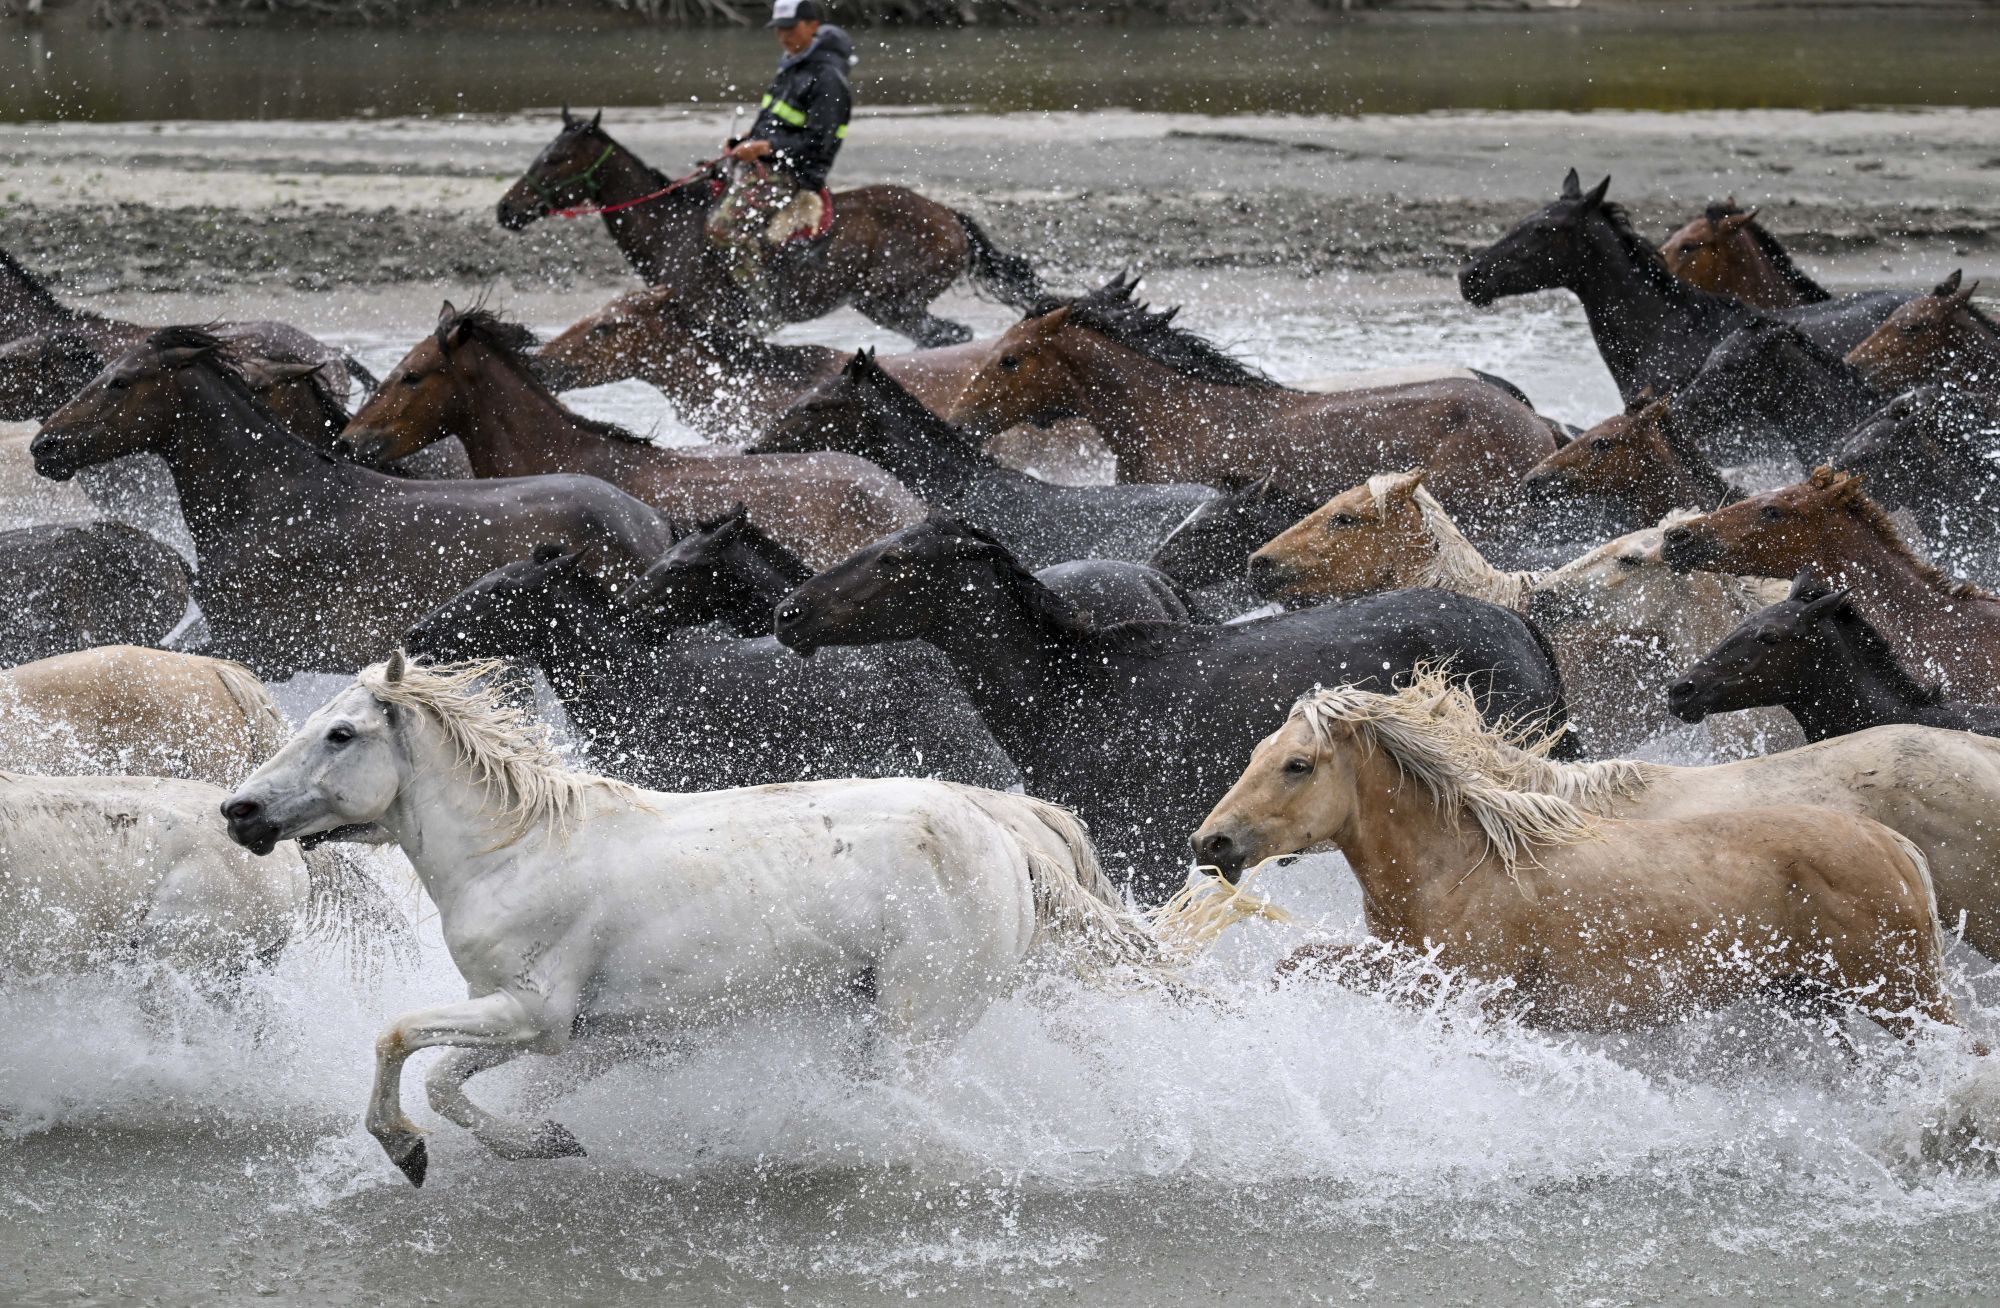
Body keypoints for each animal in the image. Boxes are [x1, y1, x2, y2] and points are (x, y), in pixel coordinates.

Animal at [221, 654, 1164, 1186]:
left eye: (340, 735)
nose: (239, 812)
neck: (513, 850)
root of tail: (1000, 826)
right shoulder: (572, 1032)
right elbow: (450, 1082)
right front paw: (544, 1141)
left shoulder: (530, 1012)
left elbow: (398, 1040)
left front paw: (404, 1151)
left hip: (921, 1014)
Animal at [1191, 675, 1961, 1040]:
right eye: (1257, 753)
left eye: (1297, 765)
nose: (1211, 843)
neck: (1458, 866)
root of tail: (1893, 847)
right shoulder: (1408, 970)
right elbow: (1302, 963)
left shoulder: (1473, 993)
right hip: (1819, 1000)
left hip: (1903, 998)